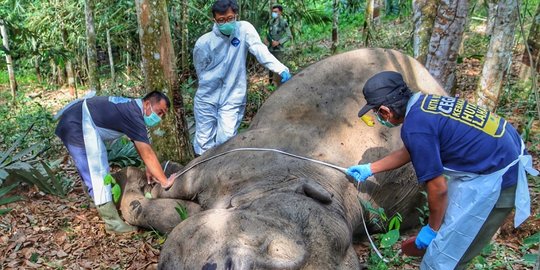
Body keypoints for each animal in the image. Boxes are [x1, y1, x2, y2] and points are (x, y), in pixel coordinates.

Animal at [112, 48, 446, 270]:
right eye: (271, 247)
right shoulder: (244, 157)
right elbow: (174, 188)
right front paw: (137, 180)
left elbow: (175, 216)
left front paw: (137, 191)